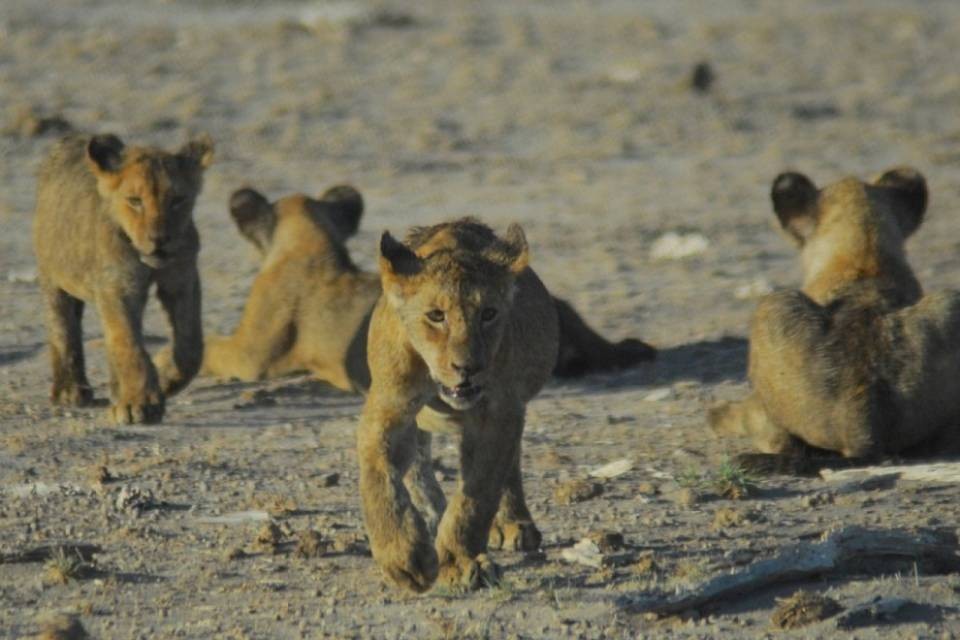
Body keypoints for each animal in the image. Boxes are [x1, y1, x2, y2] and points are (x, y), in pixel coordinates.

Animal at [33, 132, 214, 424]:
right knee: (62, 328)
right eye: (134, 201)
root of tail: (72, 137)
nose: (159, 241)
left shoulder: (181, 279)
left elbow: (190, 346)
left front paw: (163, 378)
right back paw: (70, 390)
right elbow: (128, 343)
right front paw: (138, 403)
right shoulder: (117, 287)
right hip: (52, 278)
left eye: (177, 200)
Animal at [356, 218, 558, 592]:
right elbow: (379, 477)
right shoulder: (389, 406)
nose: (468, 367)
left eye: (489, 314)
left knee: (509, 465)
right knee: (419, 464)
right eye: (436, 315)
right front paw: (405, 558)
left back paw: (513, 524)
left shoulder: (500, 412)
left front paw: (459, 561)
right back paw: (432, 515)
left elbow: (477, 494)